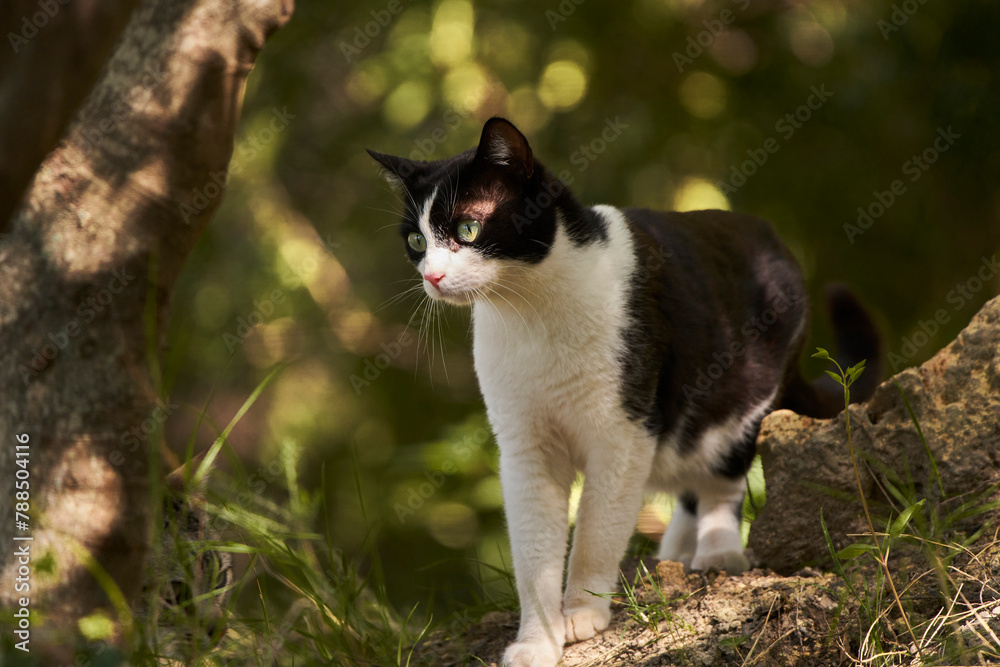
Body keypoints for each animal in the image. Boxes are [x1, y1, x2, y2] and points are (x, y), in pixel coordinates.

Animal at [368, 118, 876, 667]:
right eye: (416, 240)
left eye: (467, 228)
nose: (432, 276)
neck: (530, 313)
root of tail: (772, 241)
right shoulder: (525, 447)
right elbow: (534, 553)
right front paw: (536, 641)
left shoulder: (624, 432)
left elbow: (597, 529)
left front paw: (584, 612)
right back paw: (676, 552)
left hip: (738, 395)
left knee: (721, 480)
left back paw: (716, 551)